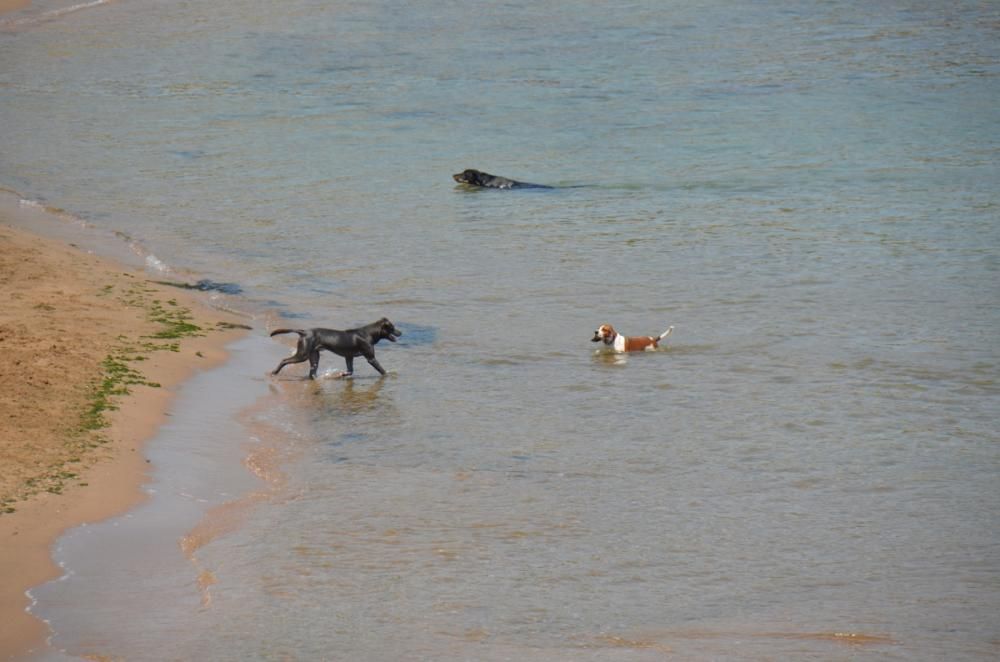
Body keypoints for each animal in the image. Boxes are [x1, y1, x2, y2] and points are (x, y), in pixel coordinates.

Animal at [274, 320, 402, 382]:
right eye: (392, 328)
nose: (401, 333)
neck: (368, 334)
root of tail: (304, 332)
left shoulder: (349, 357)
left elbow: (350, 371)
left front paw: (341, 374)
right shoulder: (371, 358)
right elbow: (382, 370)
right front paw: (389, 375)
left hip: (314, 356)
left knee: (312, 372)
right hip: (303, 354)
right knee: (284, 360)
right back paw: (274, 373)